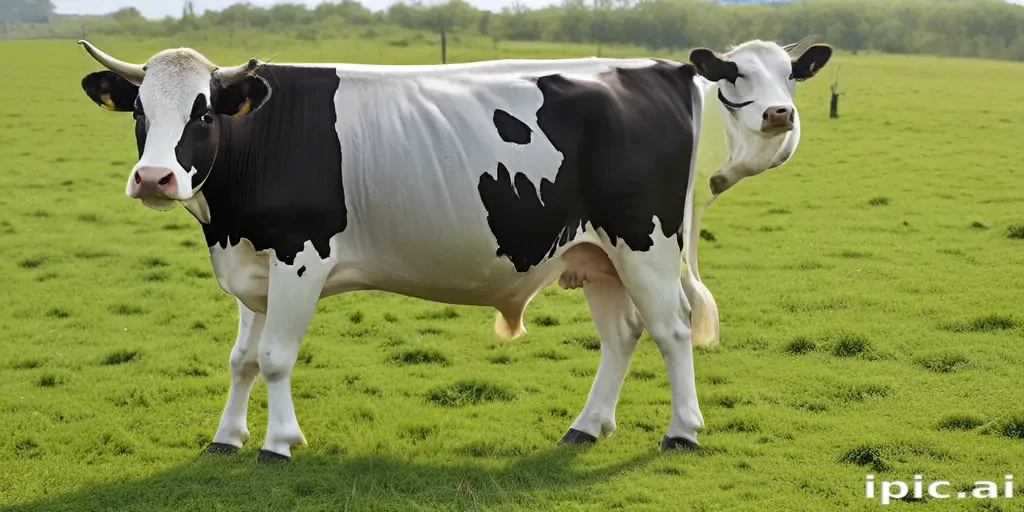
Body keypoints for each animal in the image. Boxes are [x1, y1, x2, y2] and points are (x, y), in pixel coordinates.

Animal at [76, 37, 832, 462]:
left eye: (203, 111)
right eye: (140, 110)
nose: (154, 177)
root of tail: (660, 68)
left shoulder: (300, 255)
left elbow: (276, 358)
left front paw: (276, 444)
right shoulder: (252, 260)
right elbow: (239, 360)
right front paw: (225, 439)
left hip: (645, 240)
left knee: (672, 330)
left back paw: (682, 431)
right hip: (599, 254)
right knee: (623, 334)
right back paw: (587, 427)